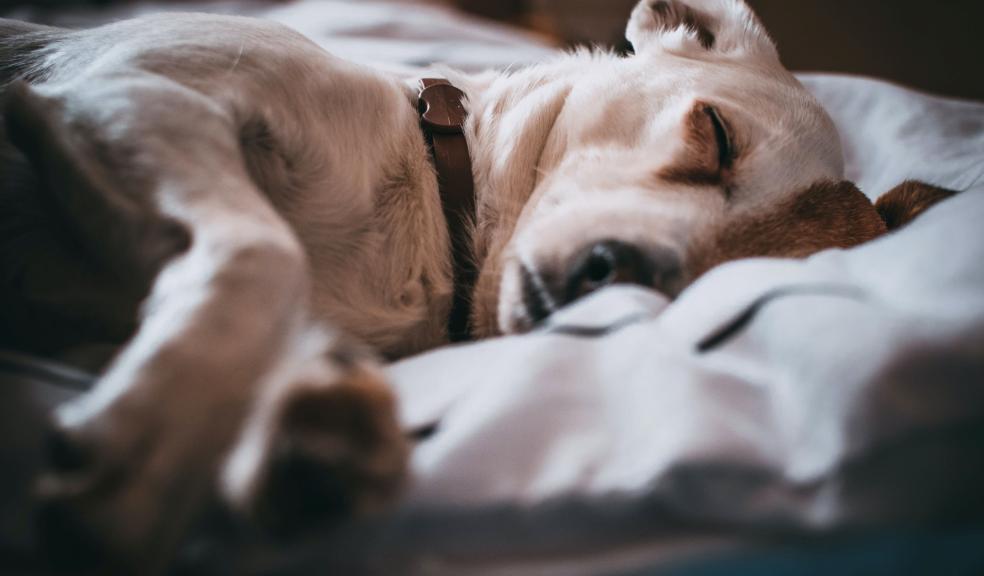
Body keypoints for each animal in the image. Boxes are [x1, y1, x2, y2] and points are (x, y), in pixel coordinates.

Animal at [0, 0, 952, 572]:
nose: (615, 273)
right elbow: (265, 254)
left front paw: (308, 436)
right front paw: (150, 457)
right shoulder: (124, 94)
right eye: (715, 134)